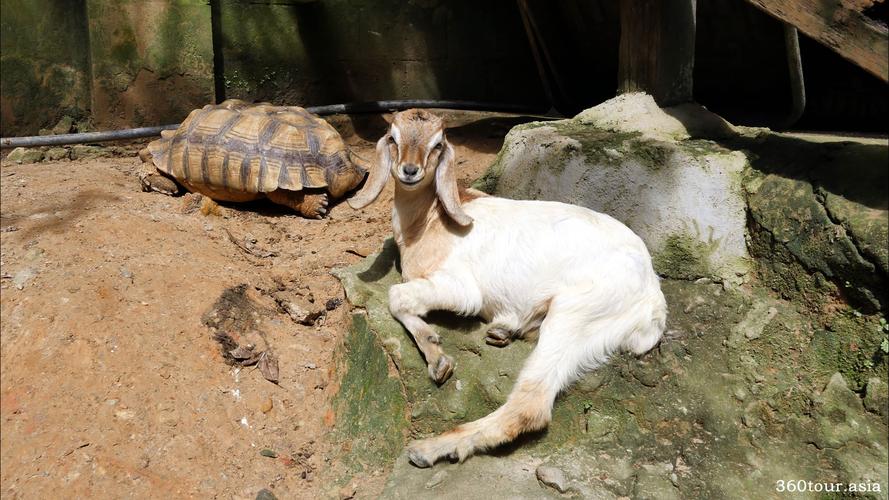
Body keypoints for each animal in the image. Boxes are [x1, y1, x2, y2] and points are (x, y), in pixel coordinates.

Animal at [346, 109, 664, 468]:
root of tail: (652, 293)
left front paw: (438, 359)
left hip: (576, 313)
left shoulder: (461, 289)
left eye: (438, 143)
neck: (428, 222)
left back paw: (429, 449)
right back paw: (503, 331)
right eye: (393, 137)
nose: (410, 170)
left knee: (530, 404)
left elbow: (397, 296)